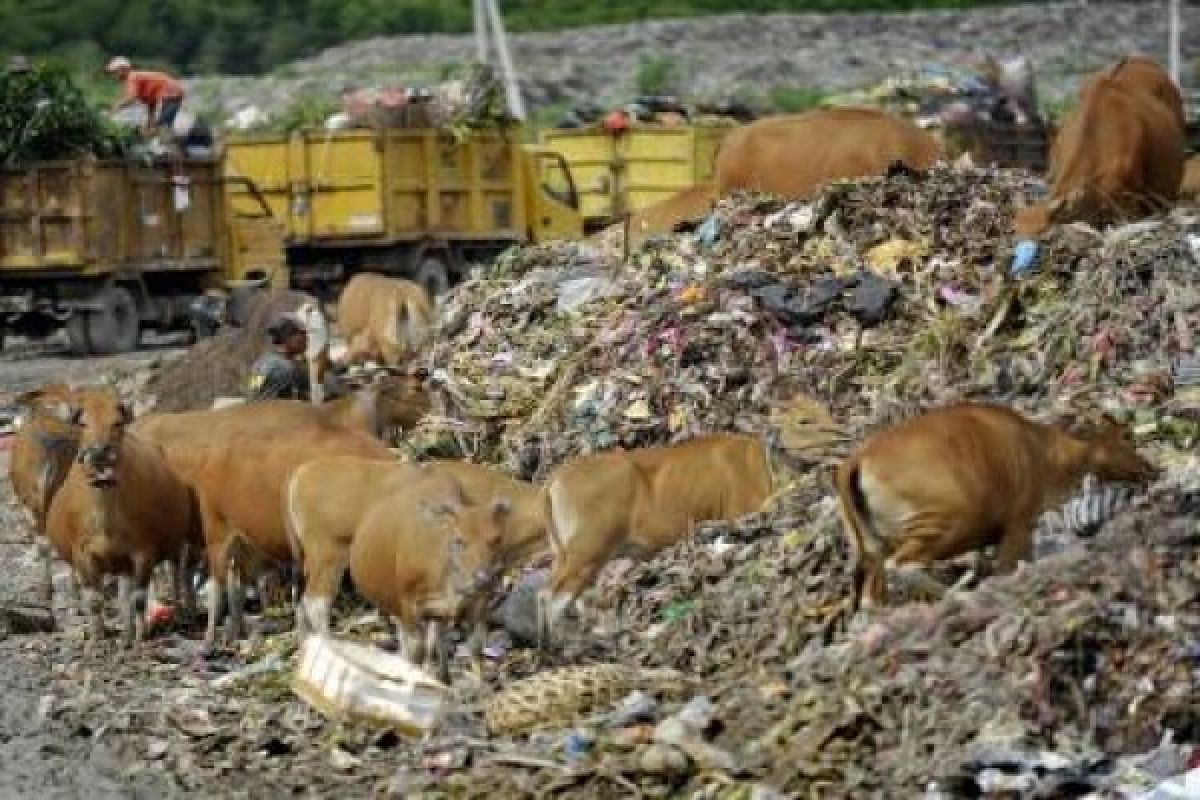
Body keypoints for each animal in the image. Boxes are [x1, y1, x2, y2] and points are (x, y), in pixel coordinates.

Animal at [43, 388, 199, 642]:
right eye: (83, 423)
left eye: (116, 423)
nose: (99, 452)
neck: (106, 514)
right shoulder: (83, 554)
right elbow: (96, 601)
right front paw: (98, 638)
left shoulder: (144, 552)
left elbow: (139, 599)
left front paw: (140, 637)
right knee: (123, 596)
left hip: (174, 547)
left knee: (179, 574)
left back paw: (182, 612)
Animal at [830, 402, 1156, 609]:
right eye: (1126, 435)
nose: (1149, 469)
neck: (1040, 449)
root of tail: (856, 462)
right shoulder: (1018, 526)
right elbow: (1006, 569)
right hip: (939, 523)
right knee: (903, 565)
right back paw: (960, 595)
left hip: (872, 551)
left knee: (871, 601)